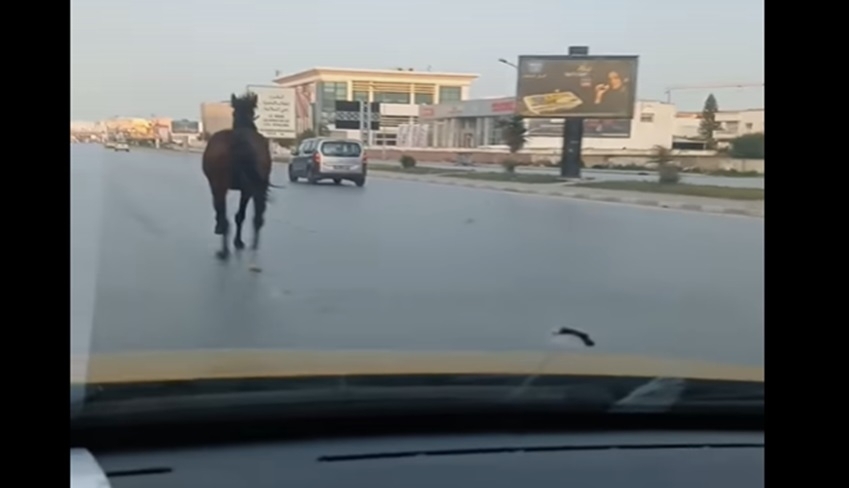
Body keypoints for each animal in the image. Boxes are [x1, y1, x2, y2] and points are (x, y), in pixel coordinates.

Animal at [201, 91, 278, 270]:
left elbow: (221, 211)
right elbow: (240, 215)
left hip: (220, 184)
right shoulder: (247, 189)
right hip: (257, 187)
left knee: (225, 216)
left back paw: (224, 251)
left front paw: (222, 231)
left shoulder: (215, 186)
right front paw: (238, 241)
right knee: (257, 218)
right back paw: (254, 254)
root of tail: (239, 138)